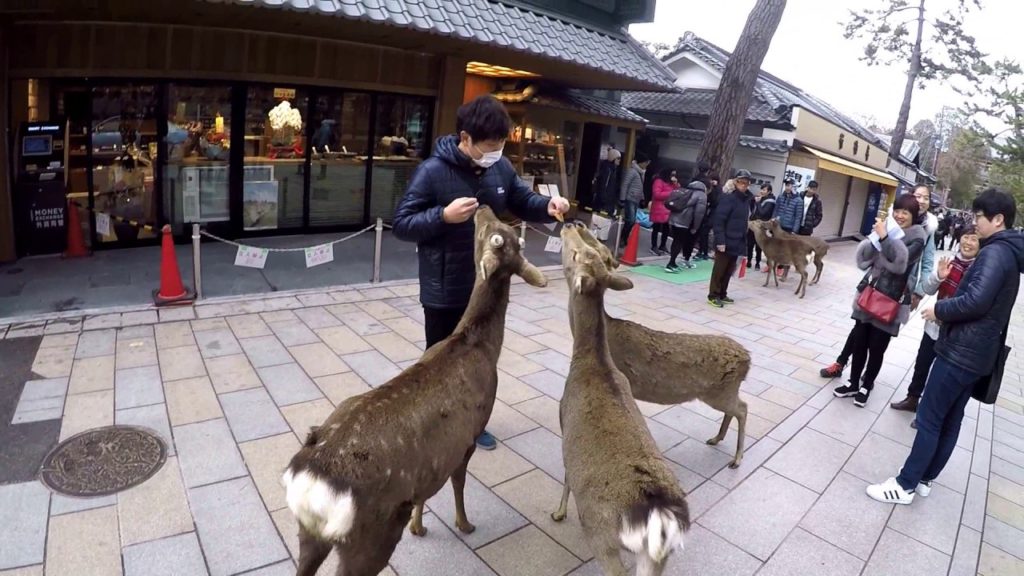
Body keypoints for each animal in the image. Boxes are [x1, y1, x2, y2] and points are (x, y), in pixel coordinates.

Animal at [281, 206, 547, 576]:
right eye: (497, 235)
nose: (481, 207)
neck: (479, 346)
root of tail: (312, 484)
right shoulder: (468, 435)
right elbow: (459, 482)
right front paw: (465, 524)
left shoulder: (430, 468)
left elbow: (426, 494)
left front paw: (419, 527)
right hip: (372, 533)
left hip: (310, 532)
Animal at [551, 222, 690, 576]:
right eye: (596, 251)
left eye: (577, 255)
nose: (572, 223)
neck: (591, 363)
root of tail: (658, 517)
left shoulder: (563, 423)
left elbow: (566, 476)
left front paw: (558, 513)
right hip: (656, 557)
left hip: (603, 537)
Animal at [572, 225, 750, 468]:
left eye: (593, 252)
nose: (577, 224)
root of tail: (748, 360)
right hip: (723, 392)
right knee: (737, 409)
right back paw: (716, 438)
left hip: (721, 391)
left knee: (743, 408)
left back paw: (737, 459)